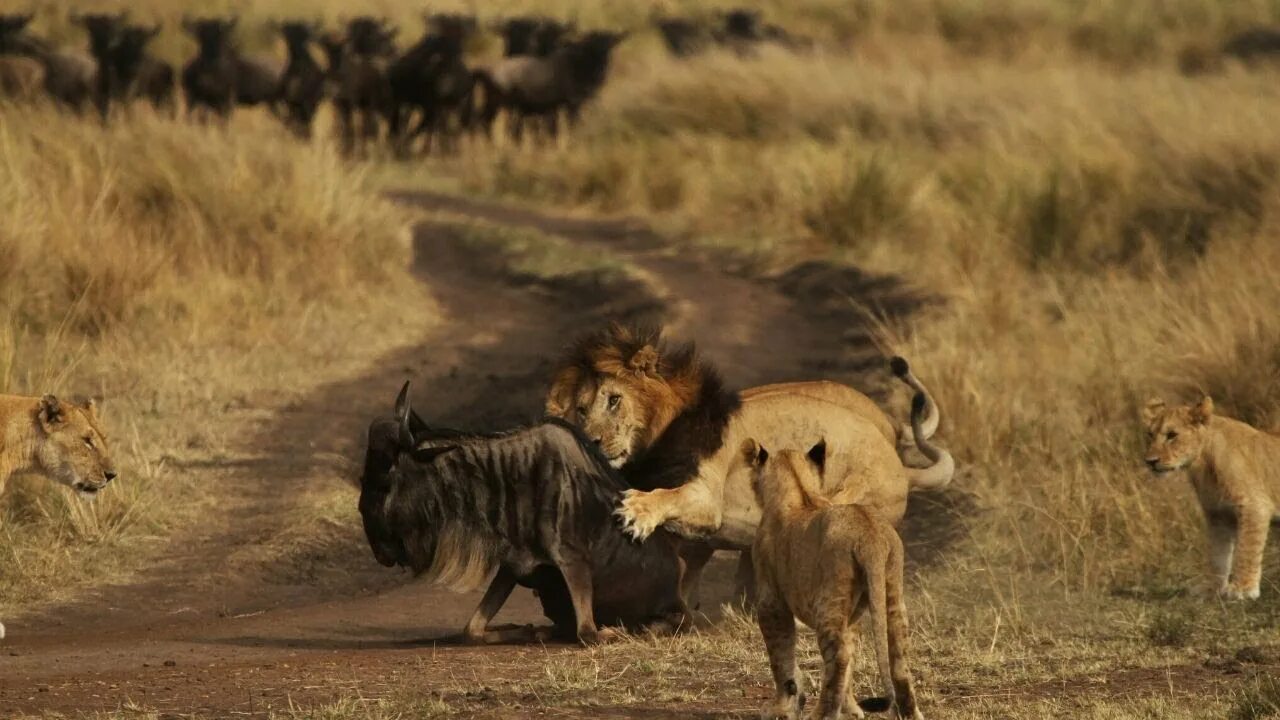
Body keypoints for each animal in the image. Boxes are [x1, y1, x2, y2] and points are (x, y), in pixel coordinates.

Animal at [745, 439, 924, 720]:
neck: (798, 486)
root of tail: (869, 535)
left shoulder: (770, 602)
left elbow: (780, 657)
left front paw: (781, 708)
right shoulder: (851, 616)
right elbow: (850, 660)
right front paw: (851, 710)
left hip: (829, 599)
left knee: (838, 656)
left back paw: (821, 714)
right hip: (891, 590)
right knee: (898, 659)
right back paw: (910, 713)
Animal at [1143, 396, 1280, 600]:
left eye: (1172, 435)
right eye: (1150, 435)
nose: (1150, 462)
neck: (1203, 463)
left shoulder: (1254, 506)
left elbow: (1247, 548)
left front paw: (1242, 589)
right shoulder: (1217, 513)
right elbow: (1218, 553)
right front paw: (1212, 588)